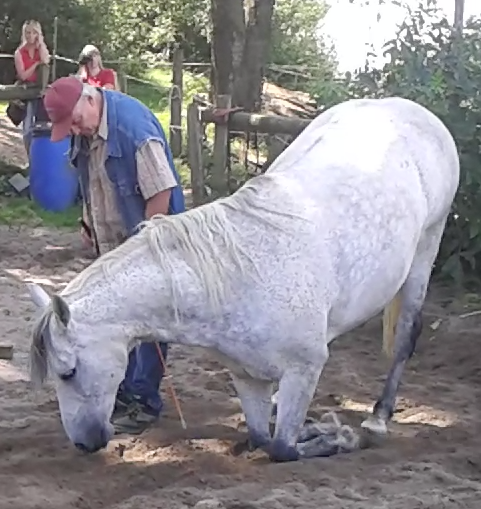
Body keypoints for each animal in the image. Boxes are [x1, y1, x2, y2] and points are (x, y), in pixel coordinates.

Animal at [27, 96, 459, 462]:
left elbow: (283, 449)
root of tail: (409, 109)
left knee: (405, 337)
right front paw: (314, 427)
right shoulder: (247, 376)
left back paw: (378, 417)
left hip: (426, 248)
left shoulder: (304, 368)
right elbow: (262, 439)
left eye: (68, 372)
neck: (239, 277)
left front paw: (338, 436)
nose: (84, 443)